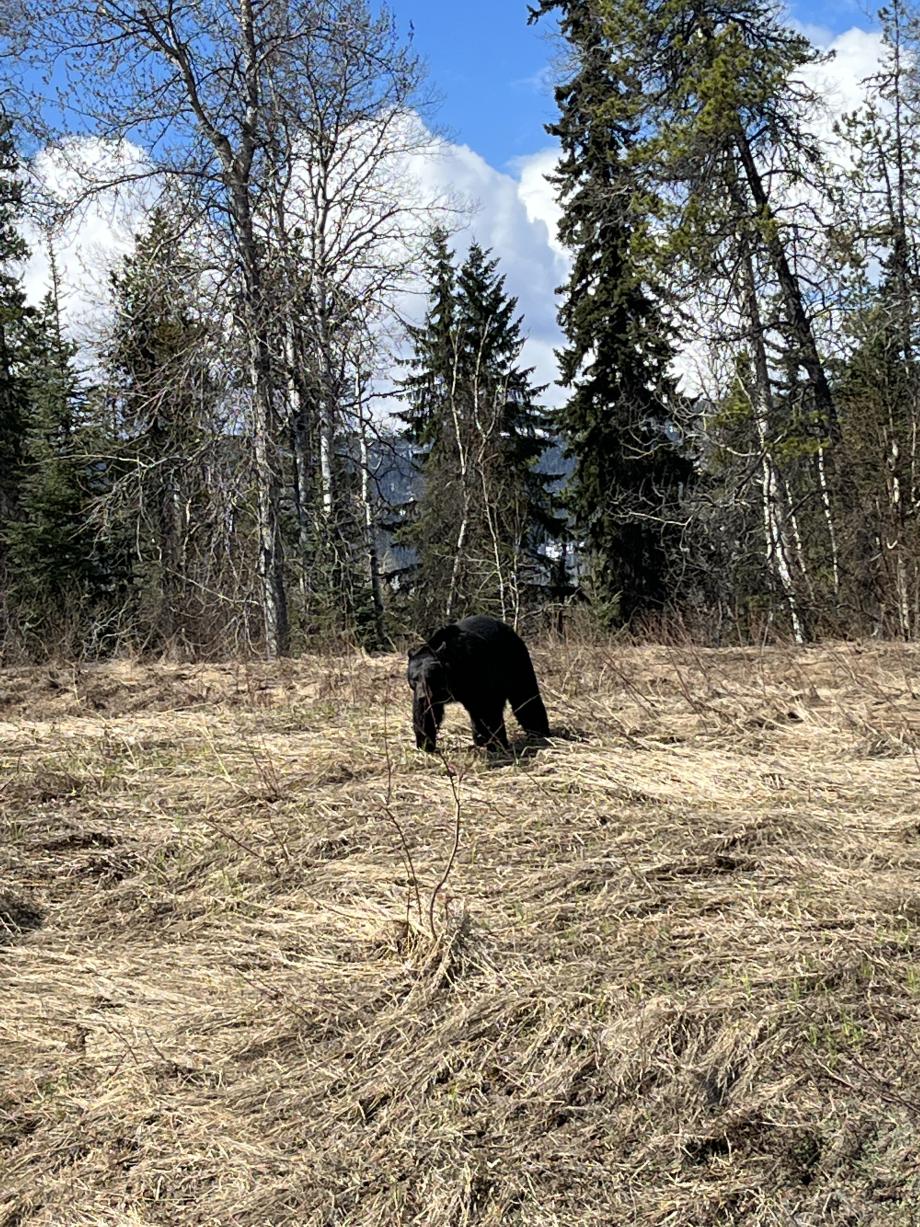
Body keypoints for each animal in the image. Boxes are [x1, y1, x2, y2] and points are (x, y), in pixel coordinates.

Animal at [409, 611, 552, 746]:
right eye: (414, 679)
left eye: (430, 676)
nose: (423, 696)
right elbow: (425, 713)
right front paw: (424, 744)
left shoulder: (477, 672)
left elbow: (487, 707)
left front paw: (496, 744)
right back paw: (480, 739)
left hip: (514, 661)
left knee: (525, 695)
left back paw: (538, 732)